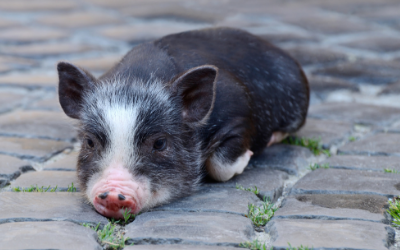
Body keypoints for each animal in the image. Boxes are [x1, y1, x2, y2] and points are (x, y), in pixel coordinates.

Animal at [57, 27, 310, 219]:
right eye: (89, 142)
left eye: (160, 143)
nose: (111, 194)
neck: (137, 79)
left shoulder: (240, 115)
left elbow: (220, 166)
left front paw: (248, 155)